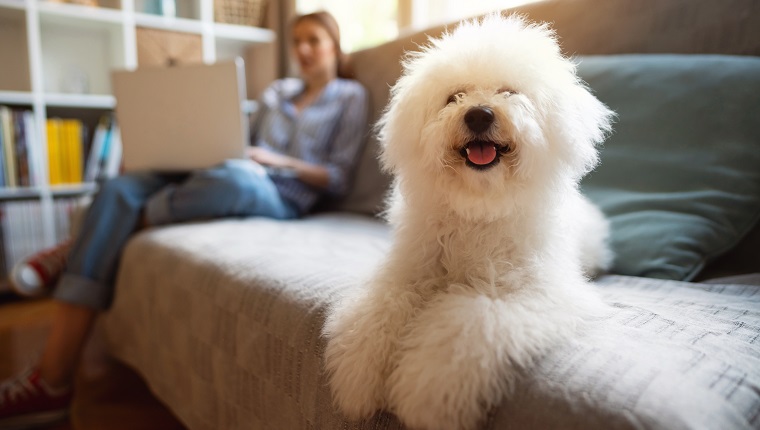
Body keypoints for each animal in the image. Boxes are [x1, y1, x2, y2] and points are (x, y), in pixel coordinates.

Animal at [324, 13, 616, 430]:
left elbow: (467, 327)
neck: (478, 207)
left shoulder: (532, 293)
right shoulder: (408, 273)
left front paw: (423, 396)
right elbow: (378, 312)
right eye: (454, 97)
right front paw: (357, 379)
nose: (479, 113)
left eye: (509, 92)